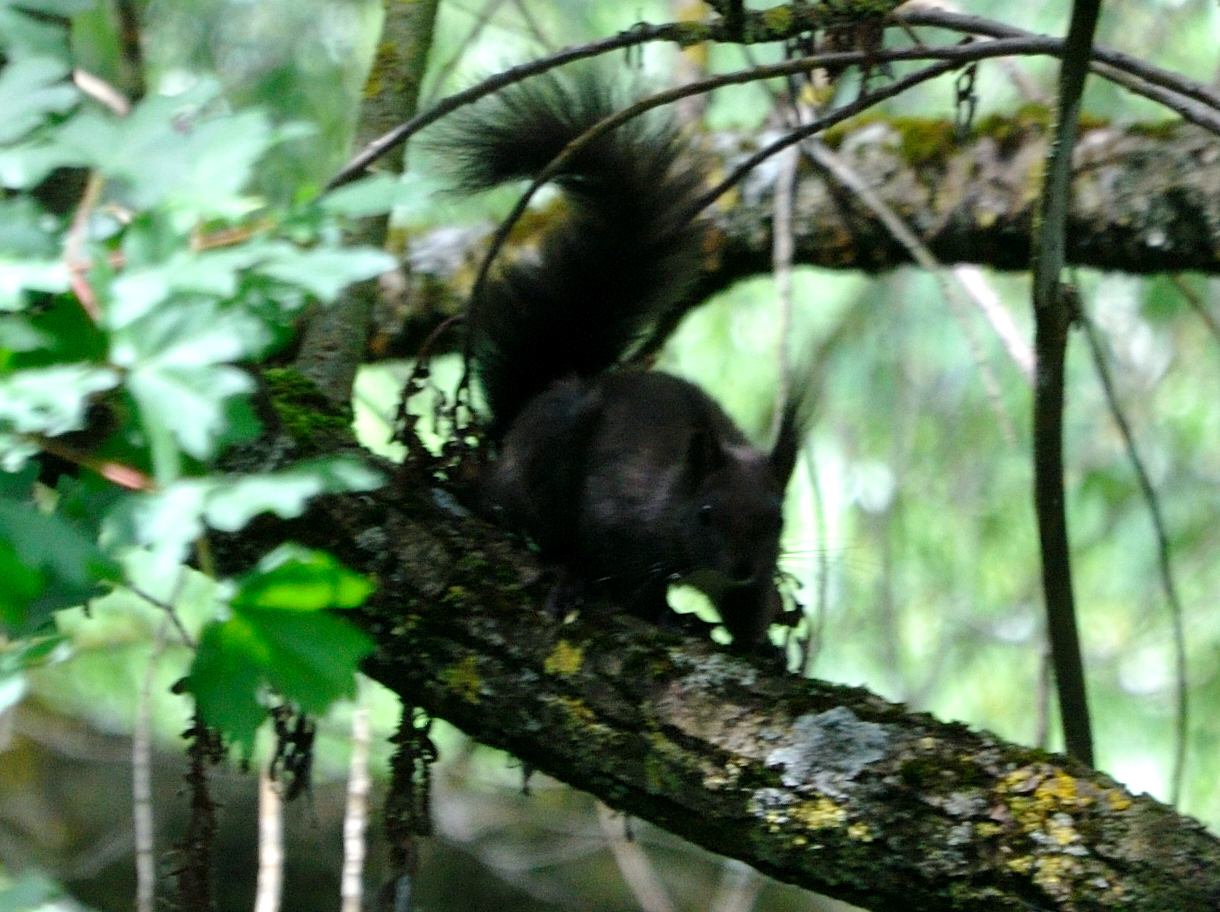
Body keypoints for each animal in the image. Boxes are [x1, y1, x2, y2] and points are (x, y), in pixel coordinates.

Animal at [439, 71, 800, 653]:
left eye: (777, 518)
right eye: (706, 513)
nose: (741, 566)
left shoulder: (751, 581)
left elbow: (749, 613)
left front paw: (762, 649)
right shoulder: (622, 522)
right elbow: (625, 575)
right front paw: (663, 614)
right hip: (544, 464)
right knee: (532, 524)